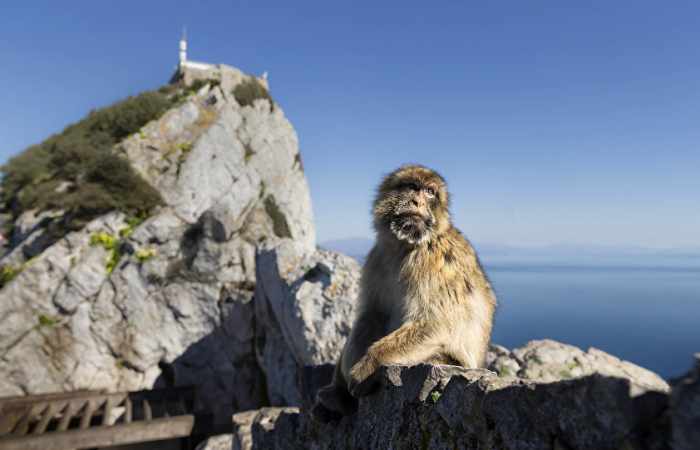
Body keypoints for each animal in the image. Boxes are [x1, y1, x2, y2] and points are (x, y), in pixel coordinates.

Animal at [312, 164, 498, 418]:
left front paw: (367, 366)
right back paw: (336, 396)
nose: (417, 201)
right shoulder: (377, 256)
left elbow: (435, 323)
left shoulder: (434, 261)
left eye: (430, 192)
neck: (406, 245)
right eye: (412, 186)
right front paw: (345, 376)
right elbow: (373, 314)